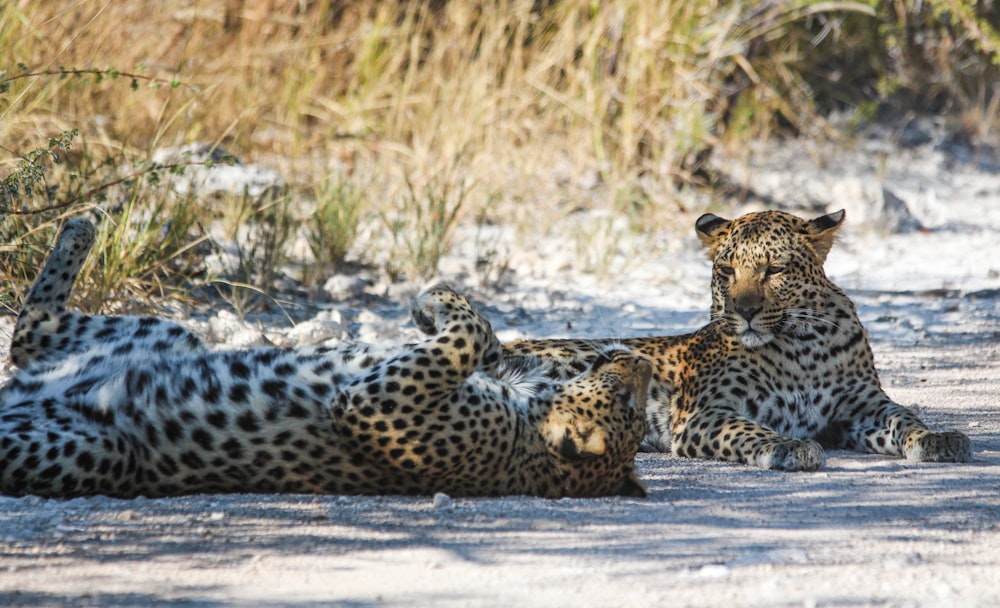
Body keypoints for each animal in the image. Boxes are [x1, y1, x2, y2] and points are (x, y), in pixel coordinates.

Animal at [508, 209, 968, 470]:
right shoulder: (704, 414)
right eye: (726, 271)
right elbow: (749, 430)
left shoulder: (861, 406)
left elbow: (903, 417)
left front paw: (938, 439)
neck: (801, 347)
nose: (744, 310)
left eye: (775, 270)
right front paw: (791, 447)